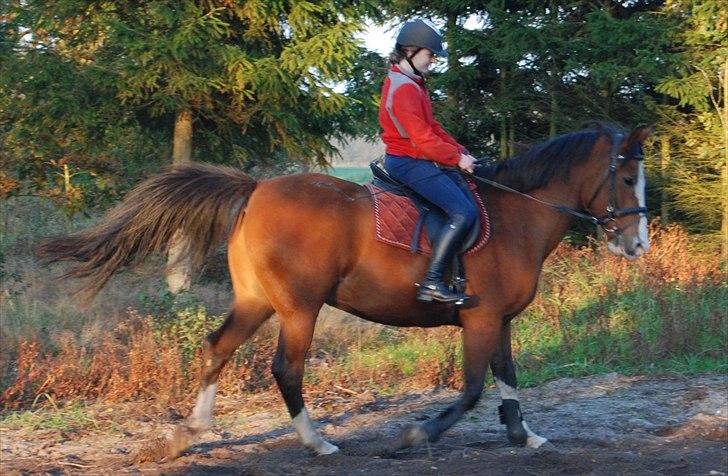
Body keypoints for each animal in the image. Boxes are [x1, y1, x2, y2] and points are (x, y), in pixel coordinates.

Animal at [38, 122, 656, 458]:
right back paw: (317, 443)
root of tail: (257, 188)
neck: (515, 216)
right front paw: (413, 436)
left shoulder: (499, 320)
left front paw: (524, 437)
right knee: (286, 370)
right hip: (299, 308)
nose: (638, 245)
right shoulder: (480, 320)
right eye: (627, 178)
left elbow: (507, 379)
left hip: (257, 301)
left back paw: (188, 433)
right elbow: (473, 389)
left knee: (217, 348)